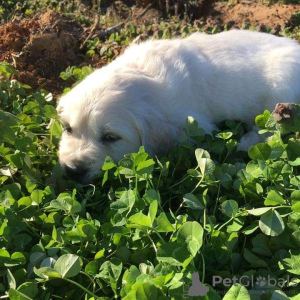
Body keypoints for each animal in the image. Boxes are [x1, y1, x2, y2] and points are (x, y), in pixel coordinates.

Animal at [56, 29, 300, 183]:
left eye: (110, 137)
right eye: (68, 128)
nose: (72, 170)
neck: (144, 78)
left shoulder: (194, 125)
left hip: (280, 89)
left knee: (270, 128)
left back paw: (244, 142)